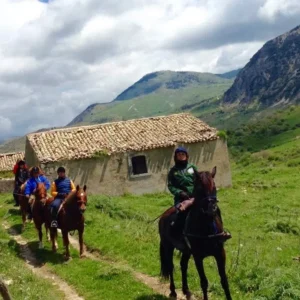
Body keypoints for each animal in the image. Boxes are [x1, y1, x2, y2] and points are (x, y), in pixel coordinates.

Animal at [159, 166, 232, 300]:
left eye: (214, 186)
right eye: (199, 188)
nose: (212, 209)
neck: (207, 228)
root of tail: (163, 216)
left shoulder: (220, 253)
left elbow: (224, 281)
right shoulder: (198, 257)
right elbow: (204, 282)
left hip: (186, 251)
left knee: (183, 265)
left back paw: (186, 290)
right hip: (168, 246)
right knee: (171, 266)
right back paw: (173, 292)